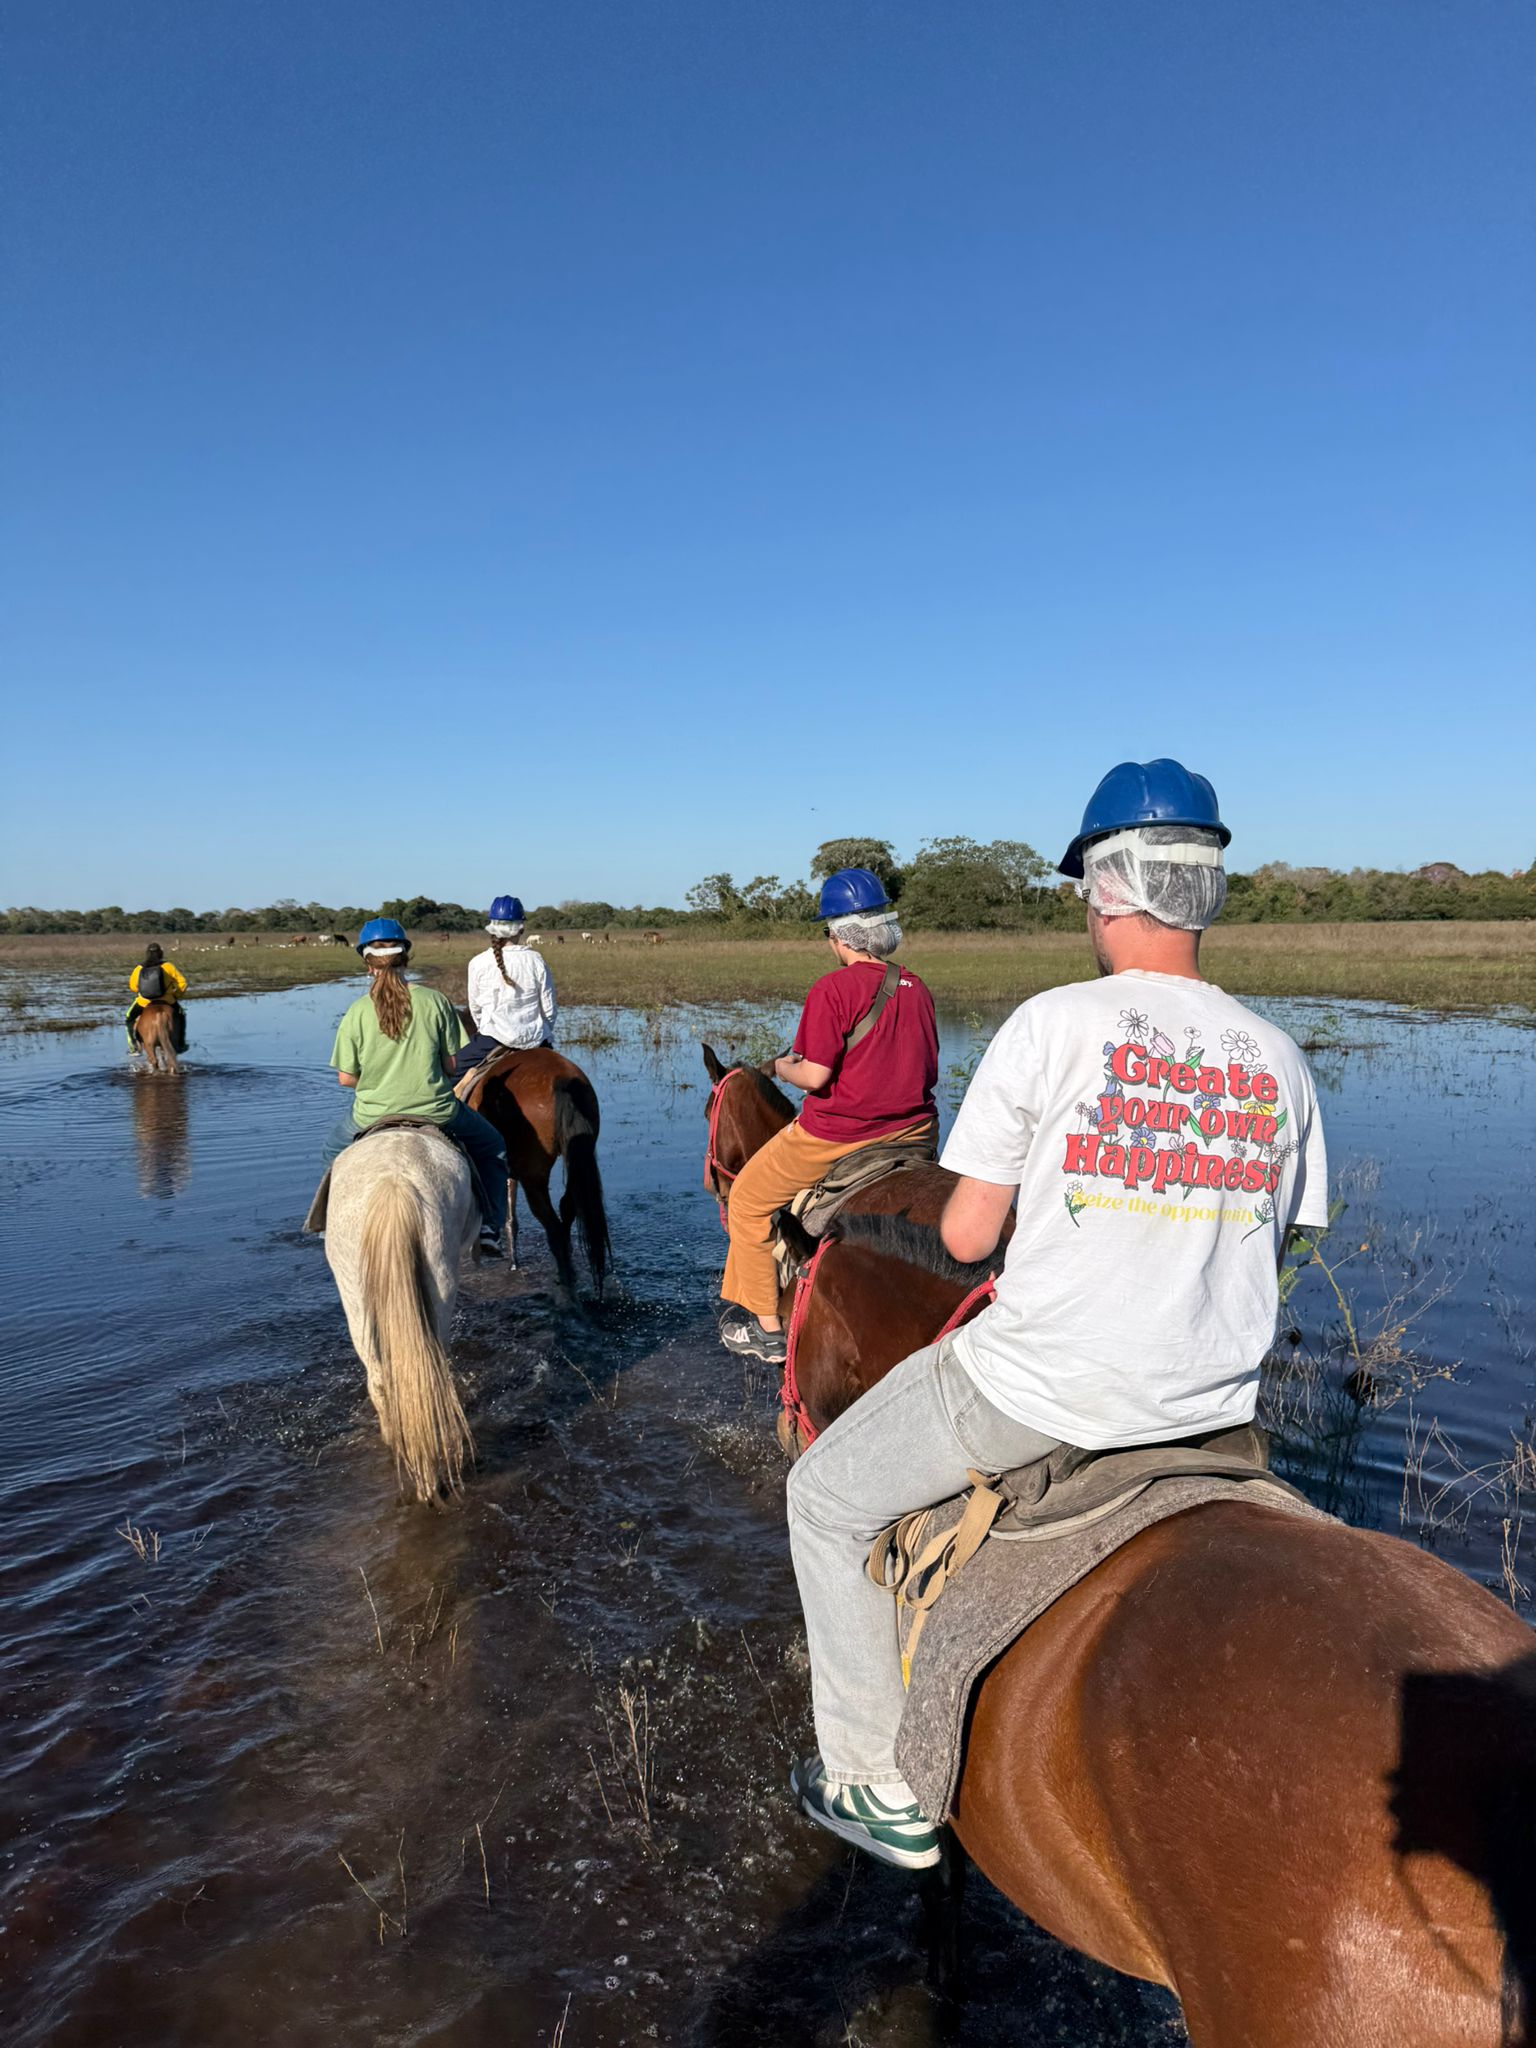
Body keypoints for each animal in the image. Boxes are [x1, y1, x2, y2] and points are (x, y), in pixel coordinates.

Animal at [462, 1046, 612, 1298]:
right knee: (567, 1208)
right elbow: (511, 1219)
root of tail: (561, 1081)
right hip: (577, 1156)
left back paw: (566, 1290)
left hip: (534, 1176)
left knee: (553, 1226)